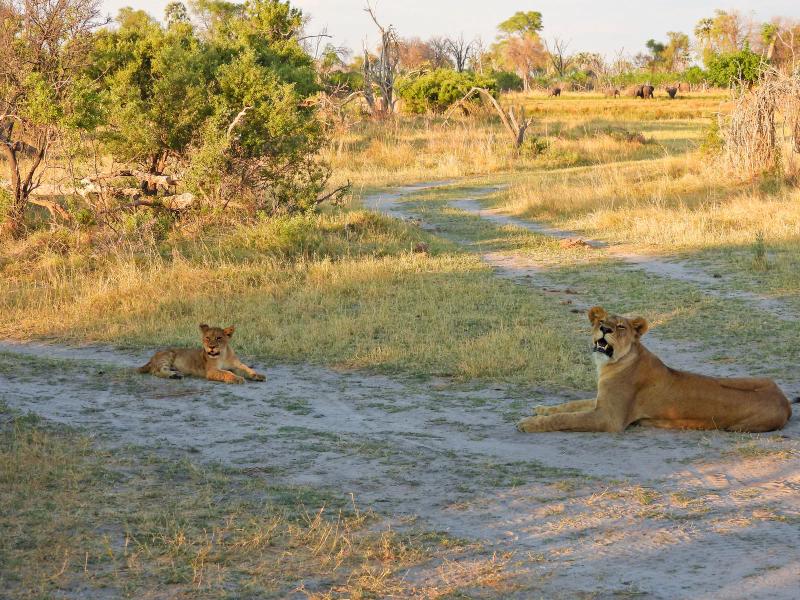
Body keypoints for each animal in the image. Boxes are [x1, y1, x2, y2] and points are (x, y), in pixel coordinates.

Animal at [517, 306, 794, 433]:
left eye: (620, 327)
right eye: (601, 321)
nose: (604, 329)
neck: (609, 365)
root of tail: (786, 402)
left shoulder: (609, 418)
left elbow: (566, 418)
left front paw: (528, 423)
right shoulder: (600, 403)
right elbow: (568, 406)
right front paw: (540, 409)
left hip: (738, 427)